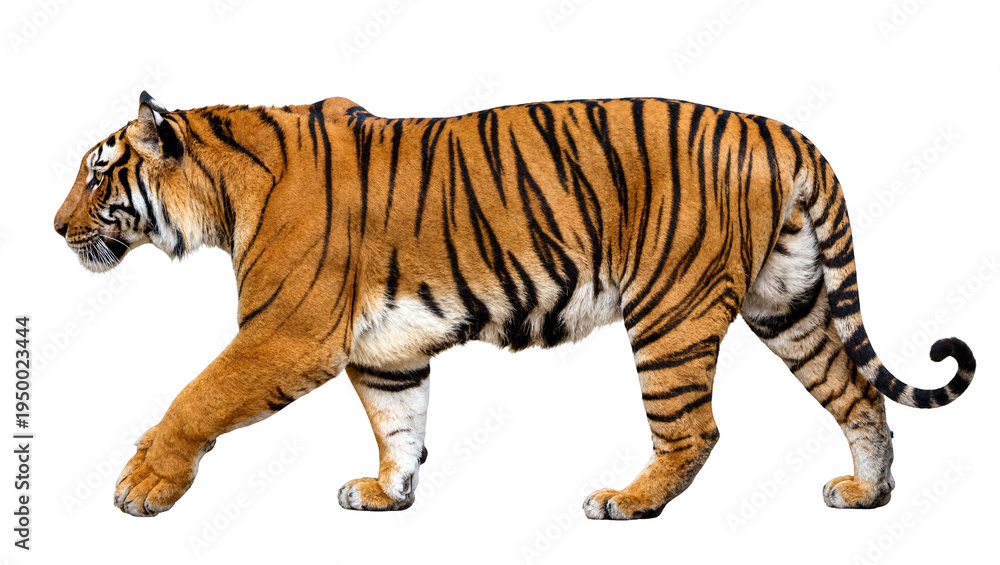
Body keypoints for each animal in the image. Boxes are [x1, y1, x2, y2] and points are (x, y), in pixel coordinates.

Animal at [53, 91, 976, 520]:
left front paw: (142, 484)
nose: (56, 228)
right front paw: (389, 493)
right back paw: (866, 495)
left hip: (669, 314)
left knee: (696, 429)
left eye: (98, 174)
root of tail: (778, 129)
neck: (221, 192)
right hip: (789, 303)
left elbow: (196, 396)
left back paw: (627, 503)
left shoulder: (287, 332)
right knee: (856, 396)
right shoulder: (386, 353)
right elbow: (400, 423)